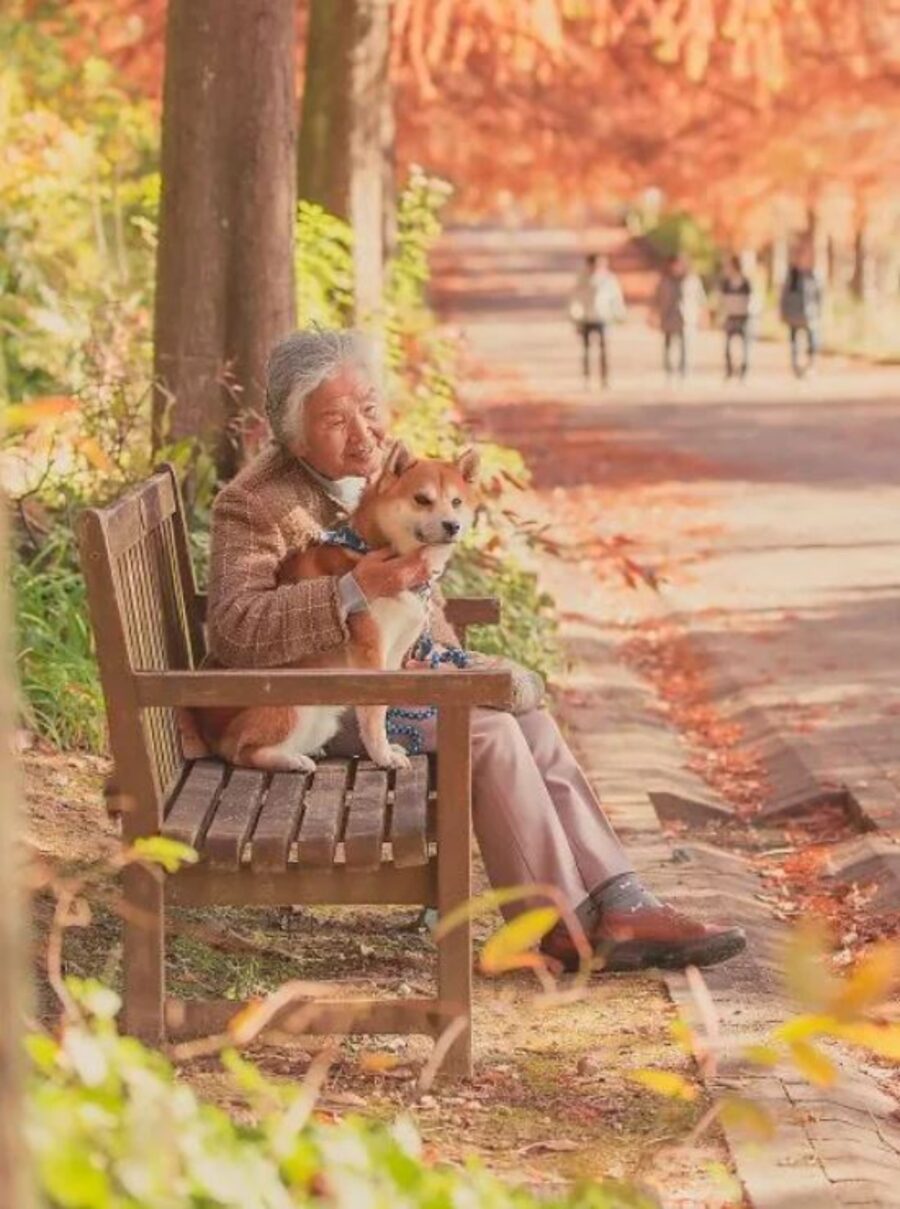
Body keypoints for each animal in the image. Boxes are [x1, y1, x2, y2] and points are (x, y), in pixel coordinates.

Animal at [191, 444, 479, 773]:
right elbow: (374, 714)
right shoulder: (370, 652)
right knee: (242, 751)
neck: (373, 548)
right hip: (294, 707)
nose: (452, 525)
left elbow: (383, 709)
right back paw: (292, 760)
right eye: (422, 499)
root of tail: (209, 734)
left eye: (456, 502)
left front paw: (386, 746)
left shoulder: (393, 654)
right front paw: (383, 756)